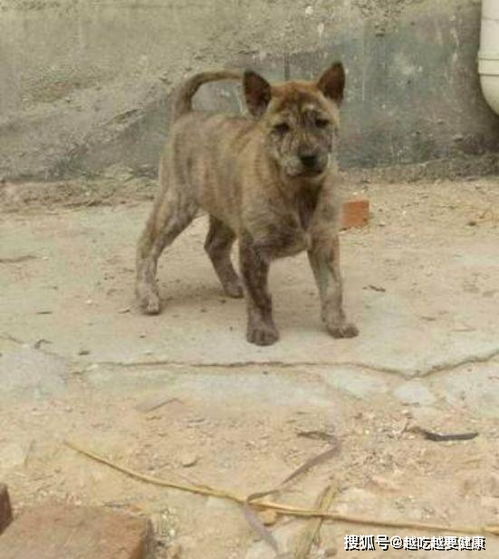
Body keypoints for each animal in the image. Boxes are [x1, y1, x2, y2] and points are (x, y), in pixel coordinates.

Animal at [135, 64, 358, 346]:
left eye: (321, 123)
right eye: (282, 128)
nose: (308, 157)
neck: (299, 190)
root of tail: (185, 115)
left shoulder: (325, 243)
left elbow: (332, 287)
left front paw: (337, 323)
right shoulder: (254, 246)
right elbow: (260, 295)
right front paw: (262, 330)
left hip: (226, 212)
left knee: (214, 246)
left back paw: (233, 284)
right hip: (176, 204)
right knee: (147, 246)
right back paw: (147, 295)